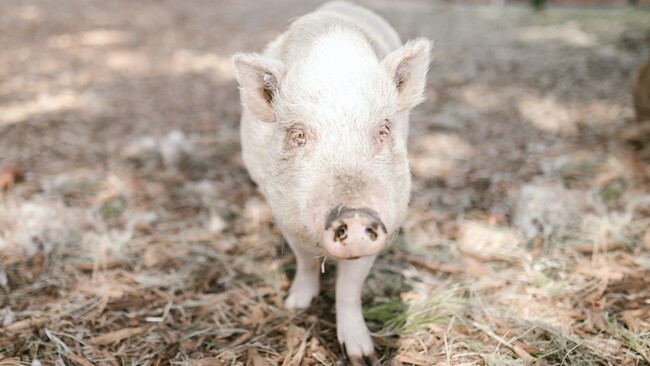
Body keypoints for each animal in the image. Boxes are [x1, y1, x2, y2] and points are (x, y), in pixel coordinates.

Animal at [233, 2, 430, 364]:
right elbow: (304, 261)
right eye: (298, 134)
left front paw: (363, 356)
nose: (354, 215)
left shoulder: (386, 219)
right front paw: (295, 307)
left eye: (383, 129)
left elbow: (350, 288)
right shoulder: (284, 213)